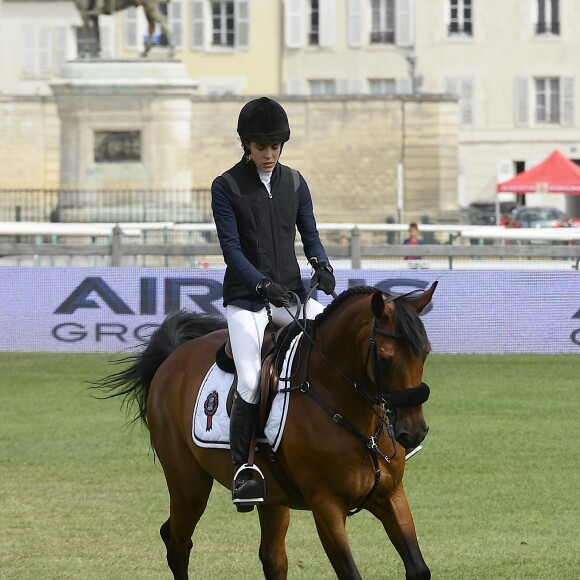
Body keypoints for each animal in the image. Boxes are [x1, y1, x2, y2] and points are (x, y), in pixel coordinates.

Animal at [98, 284, 436, 576]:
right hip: (188, 486)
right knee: (177, 543)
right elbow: (351, 573)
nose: (413, 432)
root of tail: (174, 357)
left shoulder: (390, 495)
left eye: (425, 351)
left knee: (272, 559)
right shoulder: (326, 506)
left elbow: (419, 569)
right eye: (384, 358)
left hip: (271, 496)